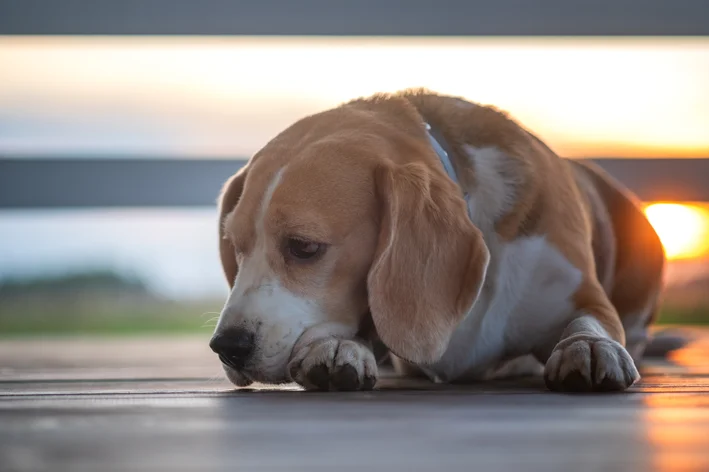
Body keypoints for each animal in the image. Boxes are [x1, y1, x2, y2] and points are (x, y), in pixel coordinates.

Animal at [209, 90, 664, 392]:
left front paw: (589, 347)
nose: (225, 347)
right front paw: (339, 345)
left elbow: (589, 323)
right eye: (237, 247)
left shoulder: (584, 296)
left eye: (304, 247)